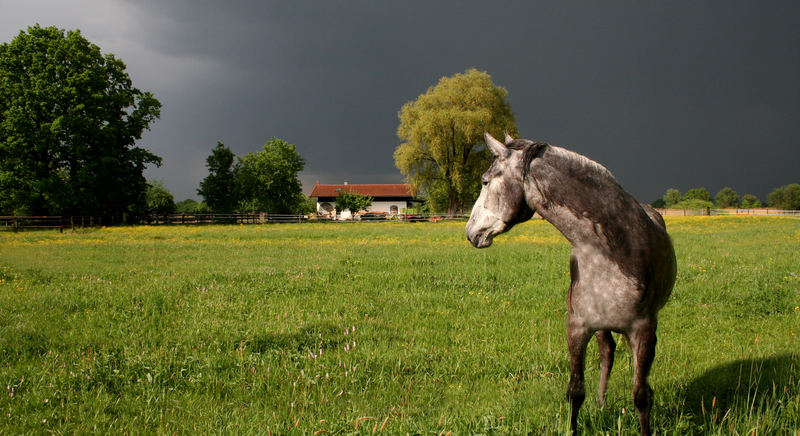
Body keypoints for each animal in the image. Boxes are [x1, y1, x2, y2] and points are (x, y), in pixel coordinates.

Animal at [466, 133, 680, 436]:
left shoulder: (644, 330)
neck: (611, 250)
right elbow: (576, 391)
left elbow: (641, 396)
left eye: (485, 181)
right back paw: (602, 404)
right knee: (607, 353)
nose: (470, 232)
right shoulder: (578, 328)